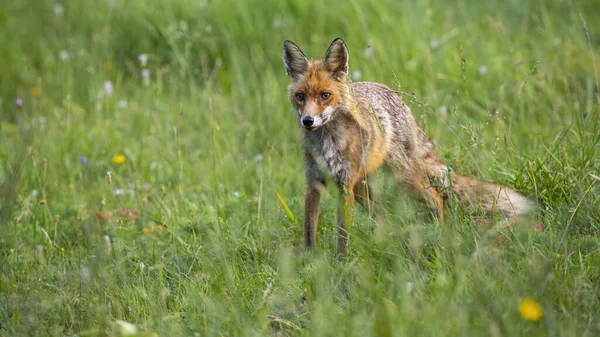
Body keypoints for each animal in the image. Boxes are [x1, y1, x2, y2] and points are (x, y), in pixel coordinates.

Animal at [282, 38, 536, 253]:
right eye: (300, 97)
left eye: (325, 96)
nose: (308, 121)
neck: (327, 143)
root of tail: (392, 93)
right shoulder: (313, 183)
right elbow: (309, 231)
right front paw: (310, 262)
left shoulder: (345, 186)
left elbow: (342, 236)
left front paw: (341, 264)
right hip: (364, 188)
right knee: (383, 215)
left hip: (401, 178)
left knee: (435, 196)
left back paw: (439, 233)